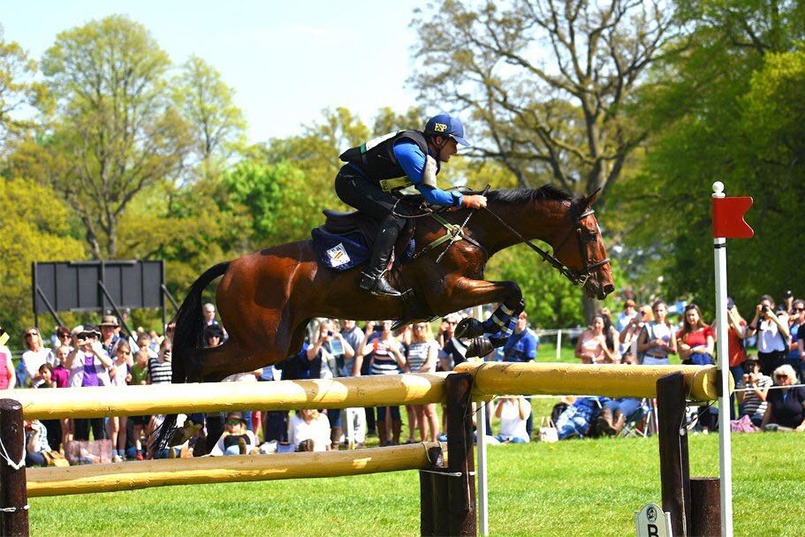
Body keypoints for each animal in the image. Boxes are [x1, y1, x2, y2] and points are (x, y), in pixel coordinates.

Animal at [168, 184, 608, 386]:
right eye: (589, 234)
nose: (605, 286)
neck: (467, 229)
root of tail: (231, 266)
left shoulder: (463, 289)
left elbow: (512, 298)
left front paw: (478, 334)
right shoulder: (448, 292)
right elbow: (513, 290)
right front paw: (480, 333)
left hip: (282, 342)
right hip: (260, 343)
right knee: (198, 363)